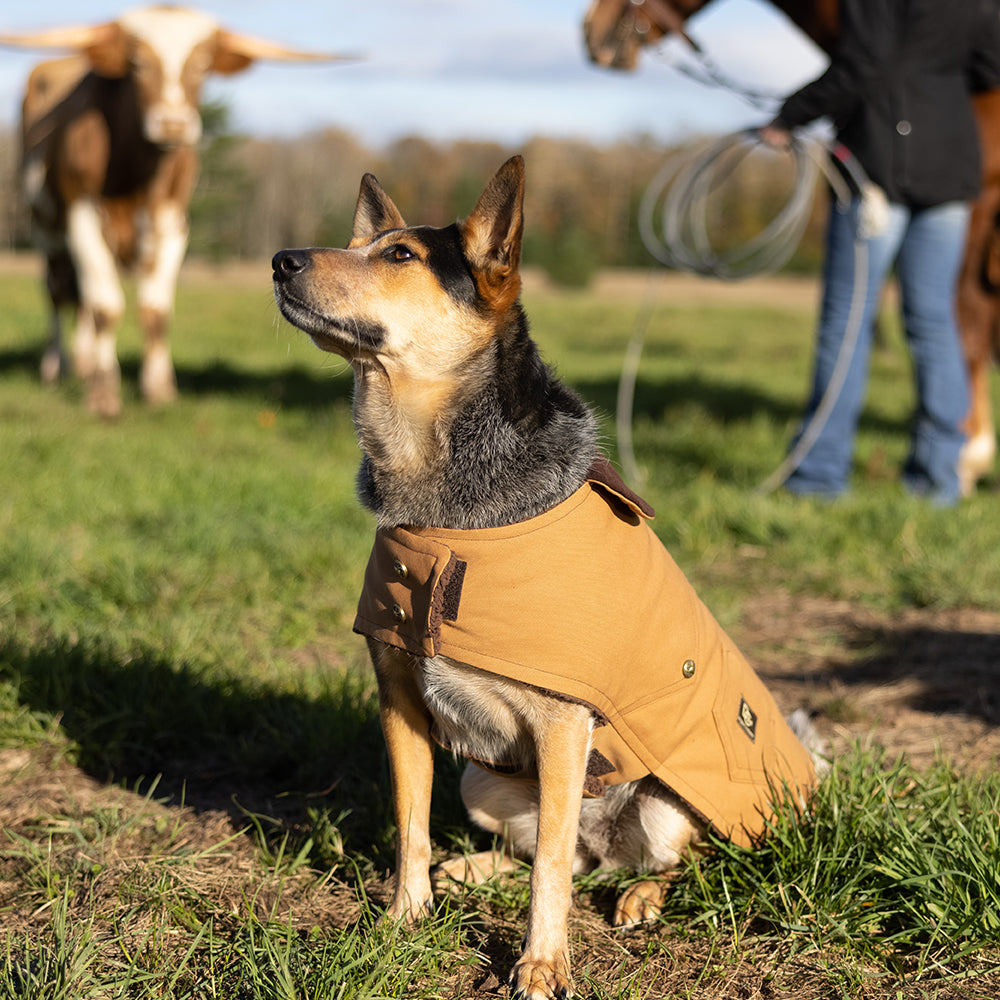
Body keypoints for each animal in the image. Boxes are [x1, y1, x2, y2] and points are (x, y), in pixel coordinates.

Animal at [274, 156, 820, 1000]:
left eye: (399, 256)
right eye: (356, 242)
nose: (281, 261)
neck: (447, 514)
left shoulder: (564, 725)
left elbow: (550, 876)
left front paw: (541, 965)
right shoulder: (400, 698)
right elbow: (411, 824)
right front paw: (406, 916)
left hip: (665, 803)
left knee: (662, 860)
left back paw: (640, 896)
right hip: (485, 781)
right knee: (556, 853)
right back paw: (474, 868)